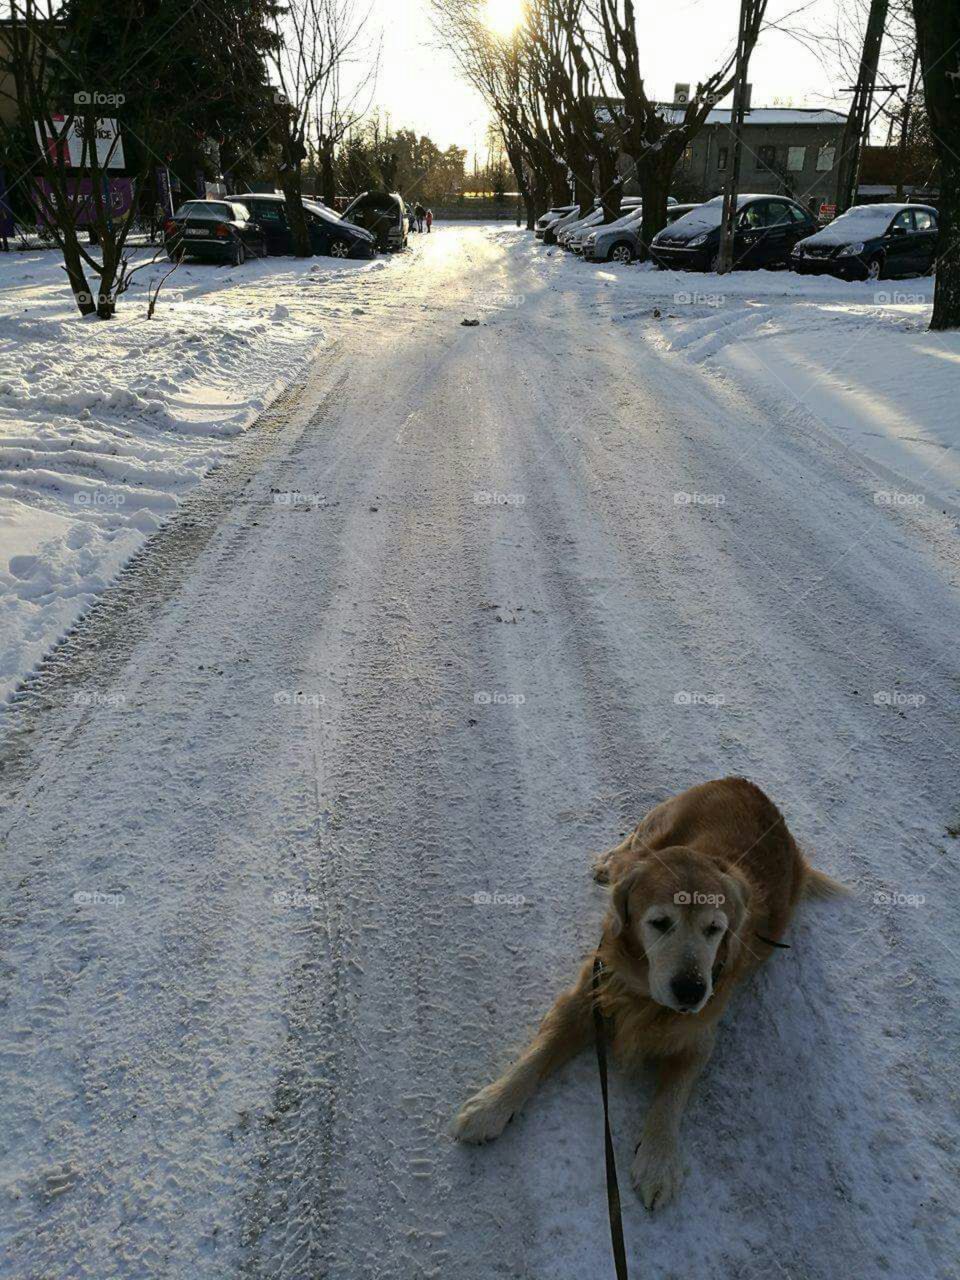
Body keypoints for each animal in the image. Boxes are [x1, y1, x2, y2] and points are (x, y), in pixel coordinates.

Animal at [455, 773, 844, 1203]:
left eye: (715, 928)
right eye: (660, 923)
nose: (691, 991)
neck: (644, 994)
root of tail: (744, 782)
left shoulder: (698, 1036)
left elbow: (671, 1097)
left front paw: (658, 1158)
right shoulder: (589, 991)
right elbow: (537, 1053)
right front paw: (492, 1104)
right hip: (659, 821)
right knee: (631, 841)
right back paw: (609, 862)